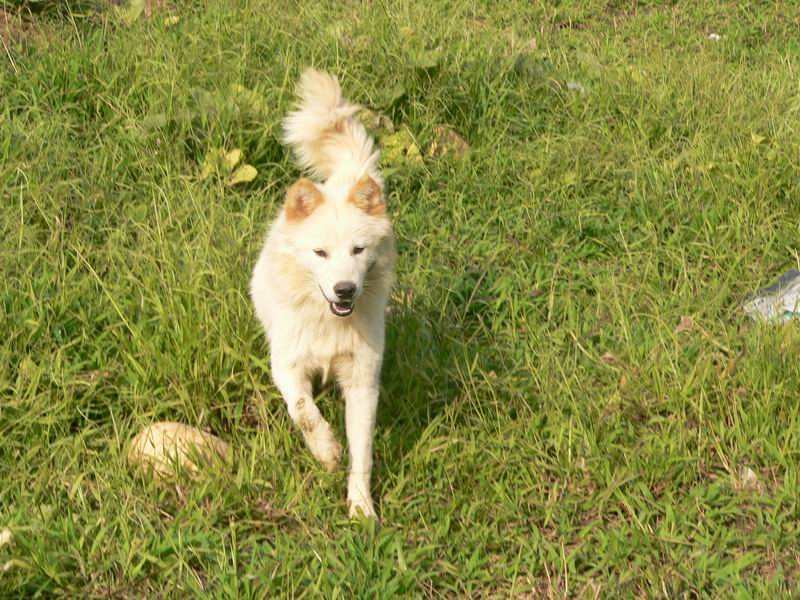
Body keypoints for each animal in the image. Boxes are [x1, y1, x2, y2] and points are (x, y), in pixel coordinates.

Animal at [250, 69, 396, 518]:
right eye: (320, 253)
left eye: (358, 250)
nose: (344, 289)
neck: (328, 323)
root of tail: (338, 184)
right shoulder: (287, 367)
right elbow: (304, 412)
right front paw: (327, 451)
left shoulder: (363, 382)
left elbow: (362, 454)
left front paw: (361, 509)